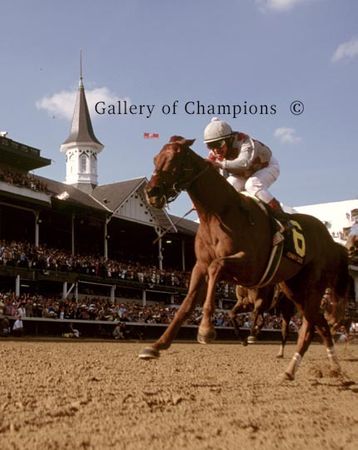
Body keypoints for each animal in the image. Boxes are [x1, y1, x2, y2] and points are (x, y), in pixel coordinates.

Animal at [141, 137, 350, 380]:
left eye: (175, 159)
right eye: (156, 158)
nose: (151, 192)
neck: (218, 213)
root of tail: (331, 240)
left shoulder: (250, 266)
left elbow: (217, 267)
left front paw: (206, 329)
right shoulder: (199, 266)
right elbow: (187, 303)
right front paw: (157, 345)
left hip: (312, 286)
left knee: (310, 326)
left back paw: (298, 368)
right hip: (294, 288)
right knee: (320, 323)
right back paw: (325, 367)